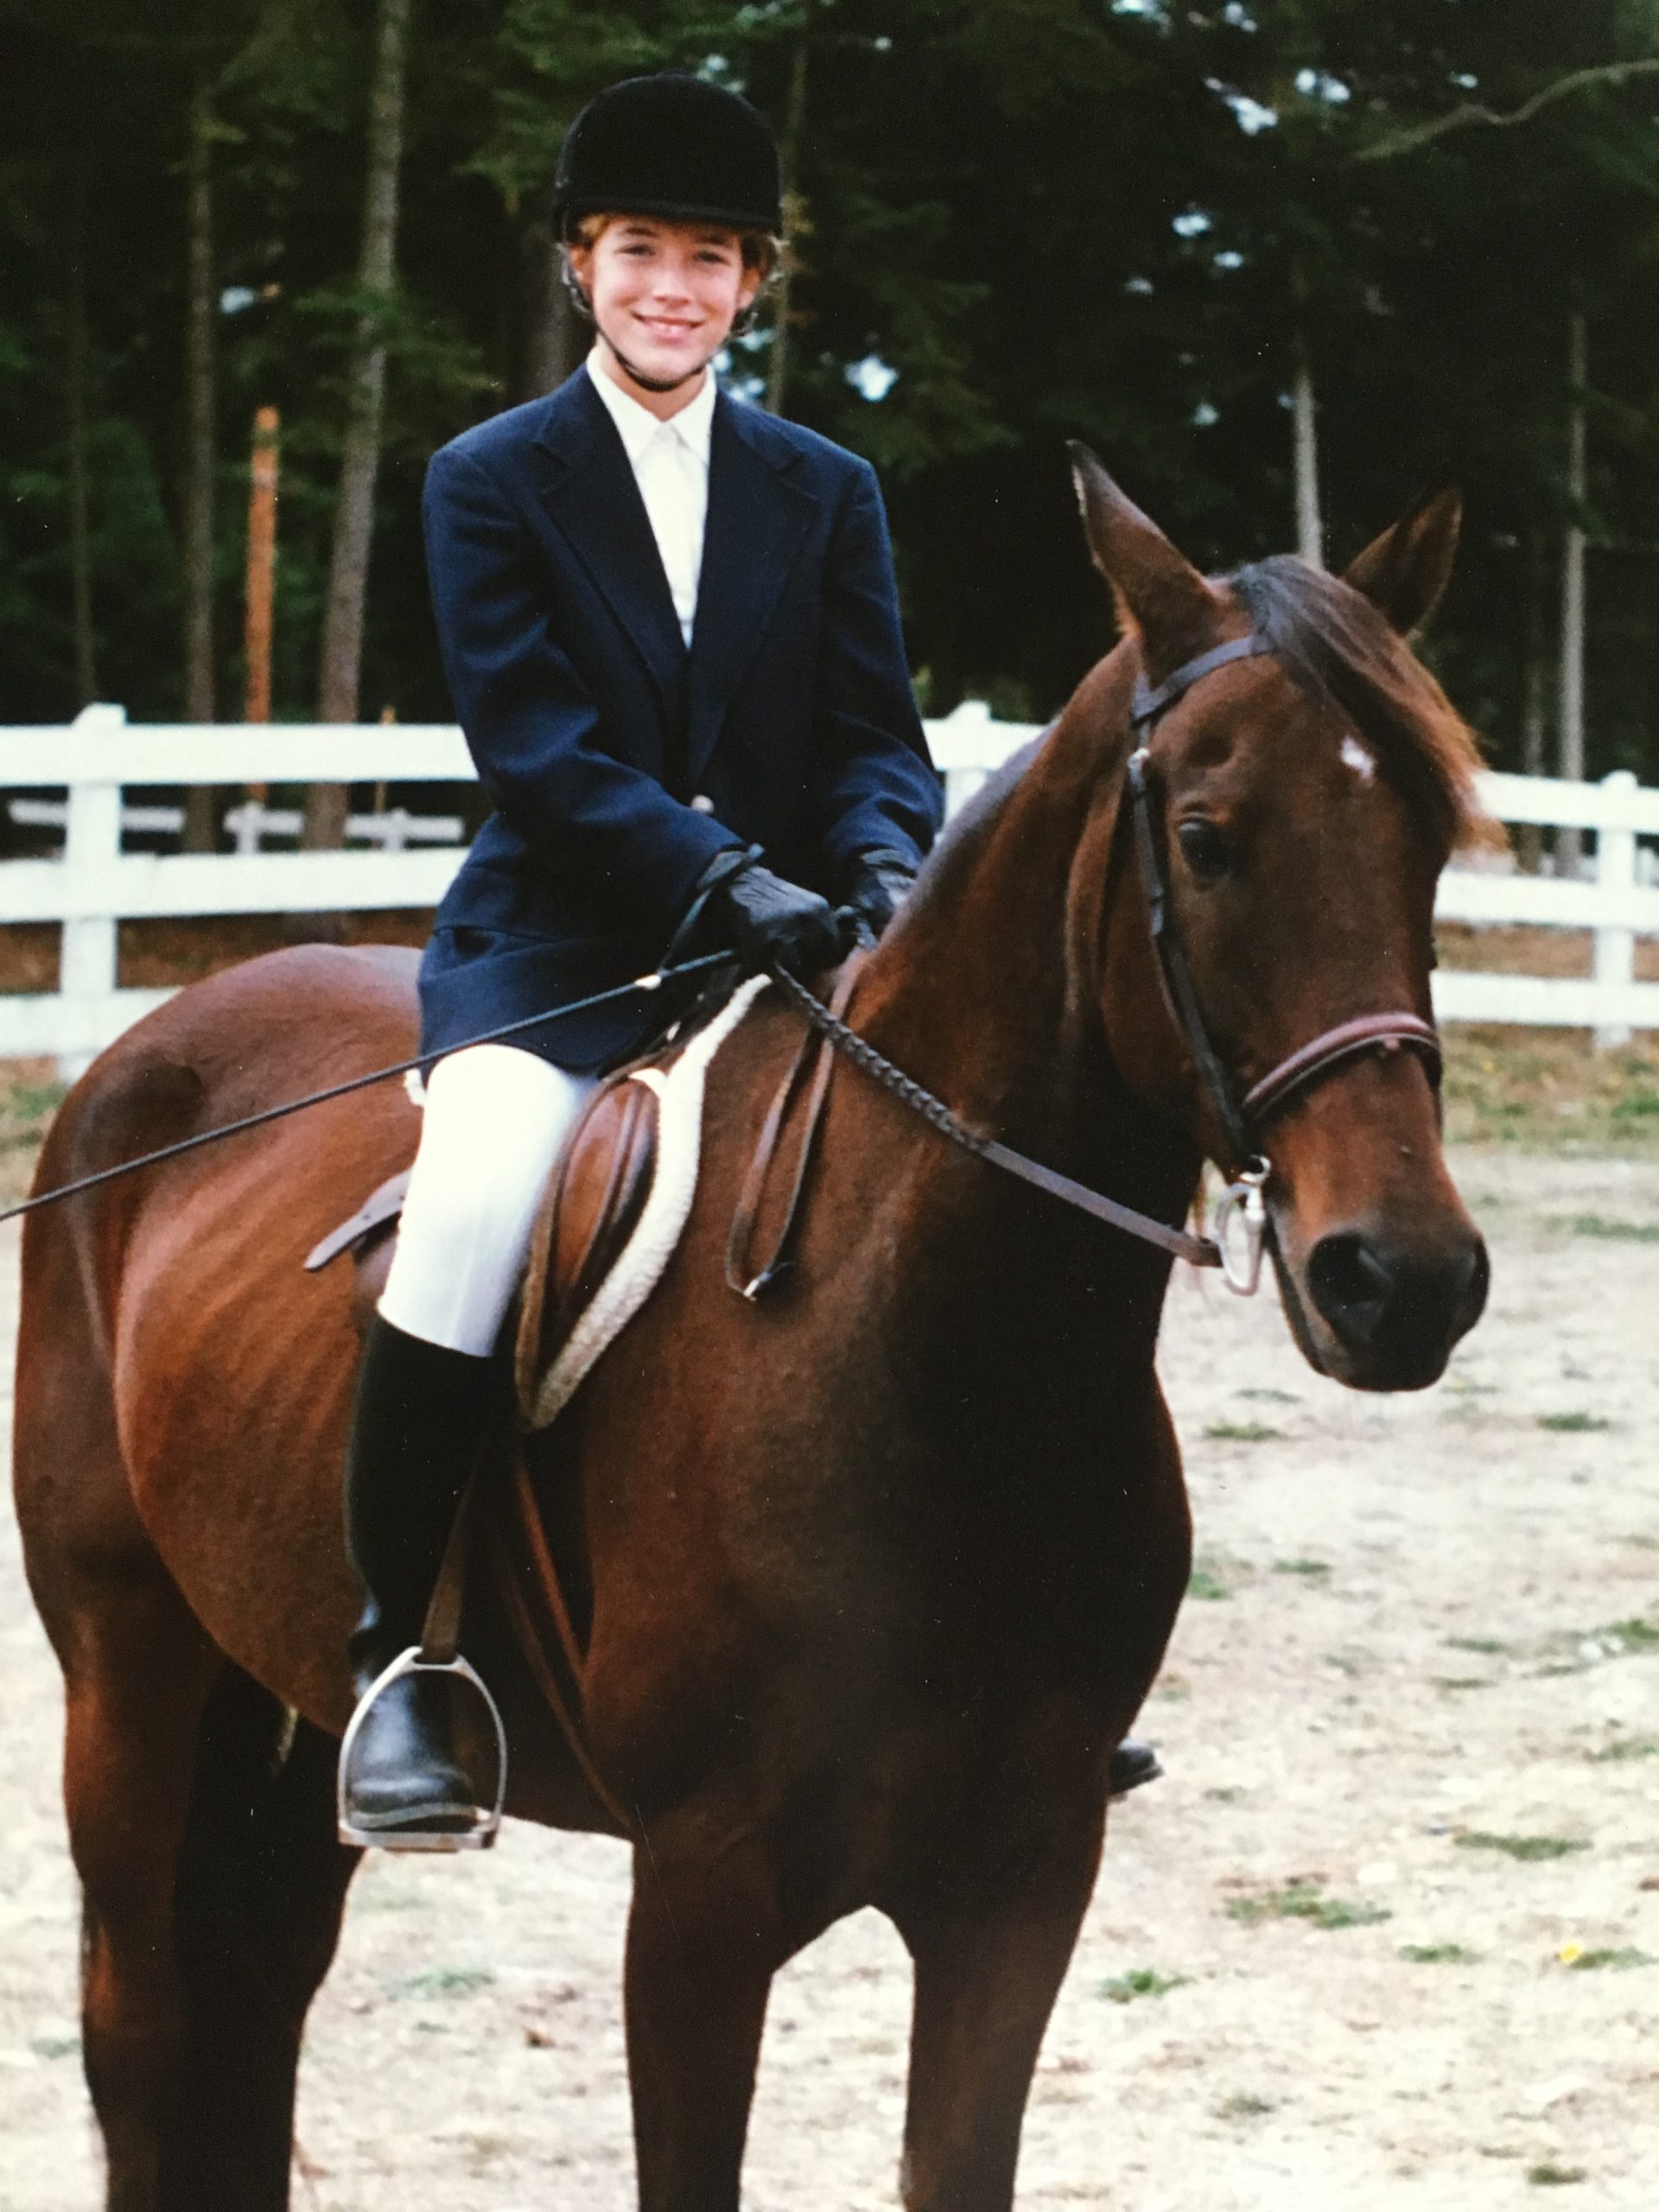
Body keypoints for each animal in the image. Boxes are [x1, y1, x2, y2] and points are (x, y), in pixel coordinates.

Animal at [13, 457, 1495, 2202]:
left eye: (1432, 844)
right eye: (1204, 838)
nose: (1404, 1281)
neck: (953, 1371)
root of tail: (147, 1052)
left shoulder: (1022, 1883)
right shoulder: (701, 1902)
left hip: (286, 1706)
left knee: (254, 2004)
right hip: (128, 1677)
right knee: (143, 2032)